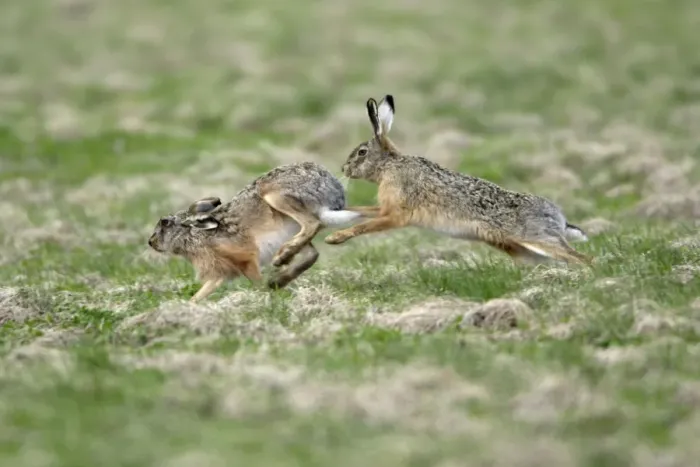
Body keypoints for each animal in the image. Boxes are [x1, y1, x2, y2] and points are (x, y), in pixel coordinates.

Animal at [148, 161, 364, 302]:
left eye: (165, 223)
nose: (151, 242)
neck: (194, 234)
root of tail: (334, 191)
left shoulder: (246, 259)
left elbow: (255, 280)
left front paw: (264, 296)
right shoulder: (220, 272)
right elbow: (203, 292)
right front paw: (190, 305)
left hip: (276, 196)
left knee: (312, 224)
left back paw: (281, 263)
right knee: (312, 251)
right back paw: (280, 275)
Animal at [324, 94, 592, 266]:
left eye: (361, 152)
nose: (344, 168)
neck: (391, 166)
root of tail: (559, 218)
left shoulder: (398, 214)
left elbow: (365, 226)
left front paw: (334, 238)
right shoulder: (385, 207)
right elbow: (362, 210)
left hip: (535, 238)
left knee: (582, 258)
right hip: (524, 250)